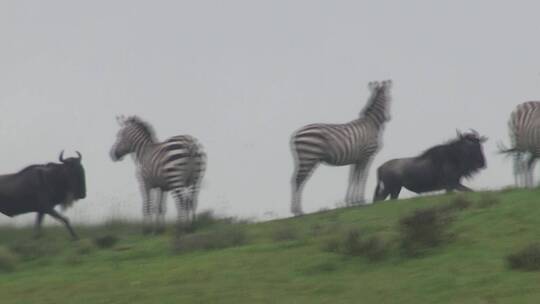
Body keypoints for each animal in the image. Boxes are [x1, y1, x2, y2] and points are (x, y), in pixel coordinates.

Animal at [292, 79, 392, 215]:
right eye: (390, 99)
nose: (389, 118)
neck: (372, 124)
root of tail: (296, 134)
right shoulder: (367, 155)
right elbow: (363, 177)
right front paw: (360, 200)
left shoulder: (357, 158)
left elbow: (353, 178)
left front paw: (350, 201)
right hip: (309, 157)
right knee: (299, 180)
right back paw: (298, 211)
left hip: (306, 159)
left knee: (296, 180)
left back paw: (296, 210)